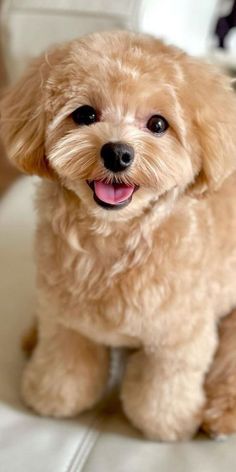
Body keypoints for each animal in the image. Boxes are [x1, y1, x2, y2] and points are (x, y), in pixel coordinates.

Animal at [1, 31, 236, 440]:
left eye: (158, 124)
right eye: (85, 115)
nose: (118, 154)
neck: (111, 239)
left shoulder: (179, 339)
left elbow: (161, 393)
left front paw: (169, 426)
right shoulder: (65, 323)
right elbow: (64, 368)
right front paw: (51, 398)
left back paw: (221, 417)